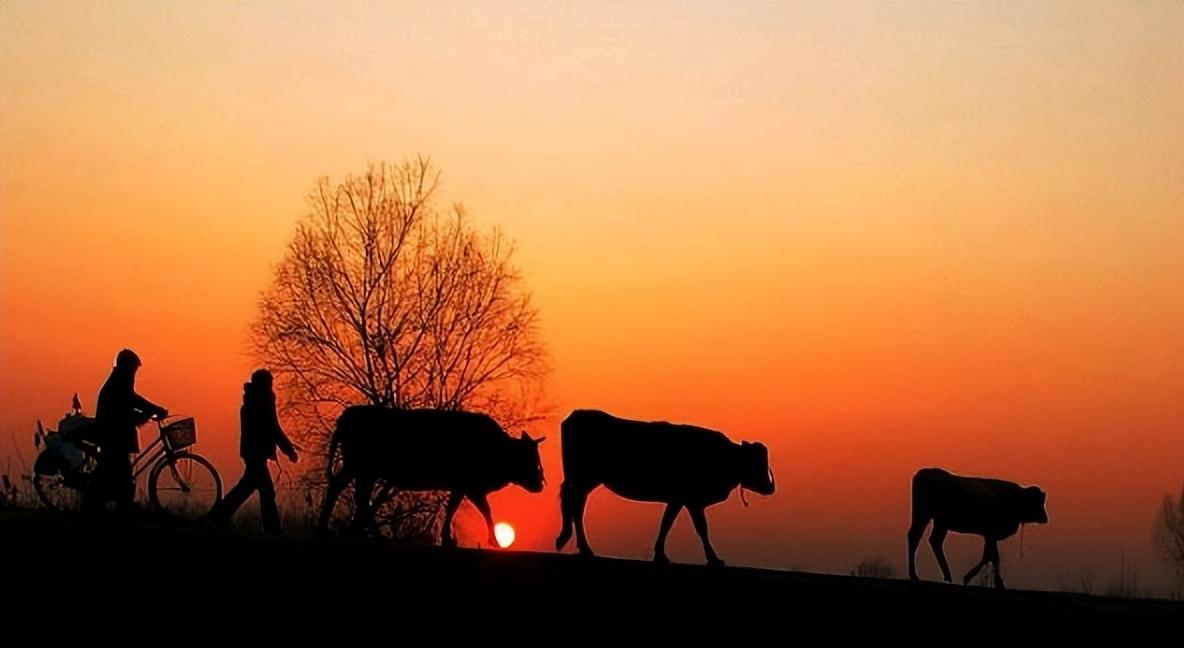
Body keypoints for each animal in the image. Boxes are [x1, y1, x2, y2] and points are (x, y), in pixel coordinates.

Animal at [314, 405, 544, 547]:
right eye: (529, 458)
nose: (540, 484)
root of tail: (348, 415)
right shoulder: (470, 486)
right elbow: (485, 510)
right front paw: (493, 541)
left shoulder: (461, 487)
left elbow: (453, 508)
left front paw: (448, 538)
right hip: (359, 467)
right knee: (347, 492)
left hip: (362, 471)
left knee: (353, 494)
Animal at [551, 409, 771, 568]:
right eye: (756, 462)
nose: (770, 486)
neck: (724, 457)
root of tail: (577, 415)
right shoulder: (691, 500)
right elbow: (701, 528)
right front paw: (714, 559)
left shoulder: (677, 500)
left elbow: (666, 523)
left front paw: (660, 554)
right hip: (583, 479)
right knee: (575, 507)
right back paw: (583, 548)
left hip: (584, 482)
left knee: (574, 506)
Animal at [904, 469, 1046, 589]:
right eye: (1037, 501)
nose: (1045, 517)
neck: (1015, 499)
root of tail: (923, 473)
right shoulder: (991, 534)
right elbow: (993, 557)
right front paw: (998, 583)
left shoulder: (989, 536)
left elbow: (988, 556)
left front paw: (970, 577)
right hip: (926, 516)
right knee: (919, 538)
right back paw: (916, 575)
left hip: (936, 521)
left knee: (929, 540)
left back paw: (940, 576)